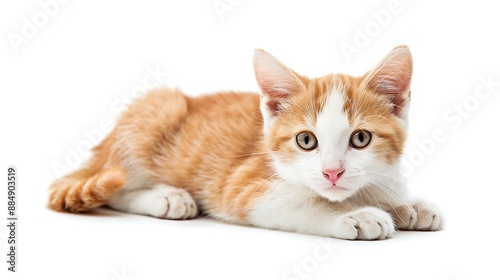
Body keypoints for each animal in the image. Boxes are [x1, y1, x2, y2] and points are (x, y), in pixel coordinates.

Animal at [48, 44, 444, 240]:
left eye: (360, 138)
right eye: (306, 140)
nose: (332, 173)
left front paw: (408, 205)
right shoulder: (243, 187)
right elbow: (302, 204)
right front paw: (356, 214)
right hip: (155, 114)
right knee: (116, 188)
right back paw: (167, 197)